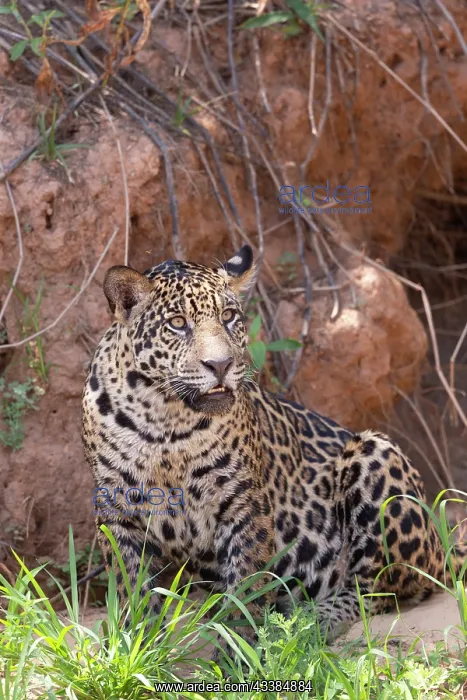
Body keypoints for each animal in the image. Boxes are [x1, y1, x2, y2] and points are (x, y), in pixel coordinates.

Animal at [81, 244, 464, 646]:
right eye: (177, 323)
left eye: (229, 317)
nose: (220, 364)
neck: (167, 420)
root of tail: (441, 544)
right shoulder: (117, 508)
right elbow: (132, 587)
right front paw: (134, 643)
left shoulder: (243, 502)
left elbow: (244, 587)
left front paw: (237, 651)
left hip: (375, 452)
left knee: (376, 589)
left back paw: (314, 620)